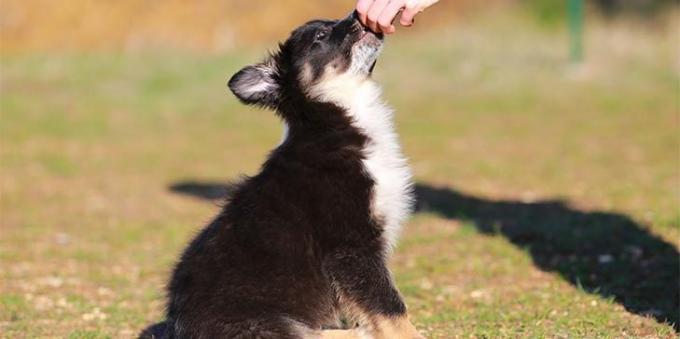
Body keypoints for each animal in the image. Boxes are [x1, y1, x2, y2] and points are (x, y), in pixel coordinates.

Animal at [142, 11, 420, 338]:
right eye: (320, 37)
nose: (357, 14)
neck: (334, 120)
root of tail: (177, 327)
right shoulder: (351, 245)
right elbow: (389, 306)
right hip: (261, 322)